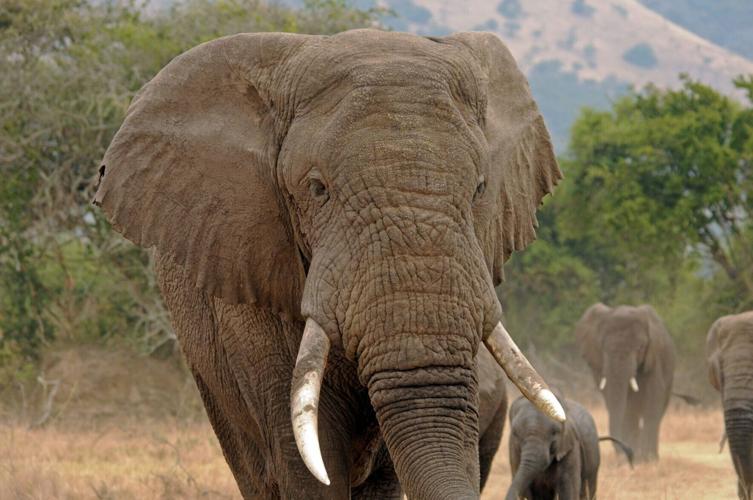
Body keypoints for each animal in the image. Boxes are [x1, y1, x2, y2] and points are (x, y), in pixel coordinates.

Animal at [505, 395, 633, 500]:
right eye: (515, 433)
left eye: (555, 433)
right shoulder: (514, 451)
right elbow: (530, 492)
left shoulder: (571, 446)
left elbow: (568, 490)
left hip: (594, 457)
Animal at [574, 303, 675, 462]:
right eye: (603, 348)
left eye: (640, 348)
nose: (625, 454)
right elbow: (621, 406)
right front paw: (632, 459)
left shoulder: (654, 360)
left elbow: (653, 400)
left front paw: (648, 460)